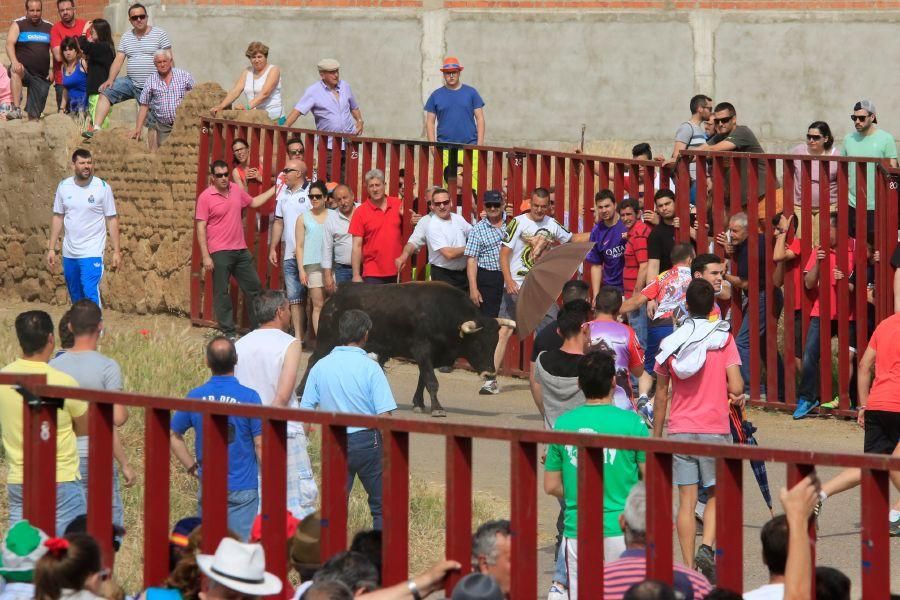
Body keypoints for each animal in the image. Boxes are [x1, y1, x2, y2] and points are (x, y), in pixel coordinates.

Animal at [300, 282, 516, 418]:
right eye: (478, 344)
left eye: (495, 343)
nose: (490, 373)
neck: (443, 314)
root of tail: (334, 298)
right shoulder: (423, 350)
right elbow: (431, 381)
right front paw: (437, 409)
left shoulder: (429, 356)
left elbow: (423, 379)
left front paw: (418, 404)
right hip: (326, 341)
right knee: (312, 362)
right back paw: (300, 392)